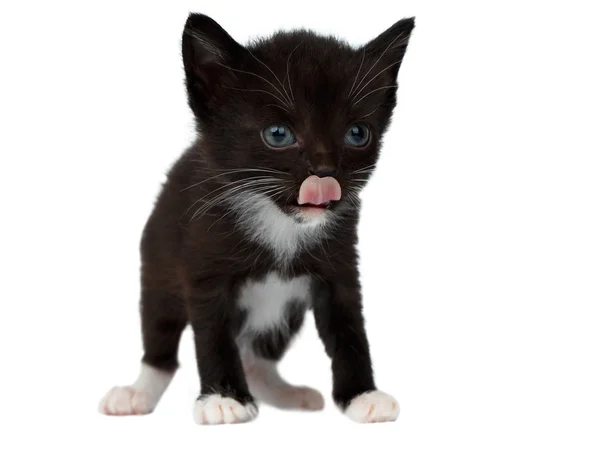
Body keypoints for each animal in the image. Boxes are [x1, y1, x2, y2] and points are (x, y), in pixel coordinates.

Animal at [101, 12, 414, 424]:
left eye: (357, 134)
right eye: (278, 134)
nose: (325, 172)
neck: (280, 220)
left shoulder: (340, 267)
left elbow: (349, 330)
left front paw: (363, 395)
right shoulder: (204, 266)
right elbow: (212, 335)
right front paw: (224, 398)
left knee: (257, 355)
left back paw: (283, 392)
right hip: (158, 265)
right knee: (160, 339)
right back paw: (137, 393)